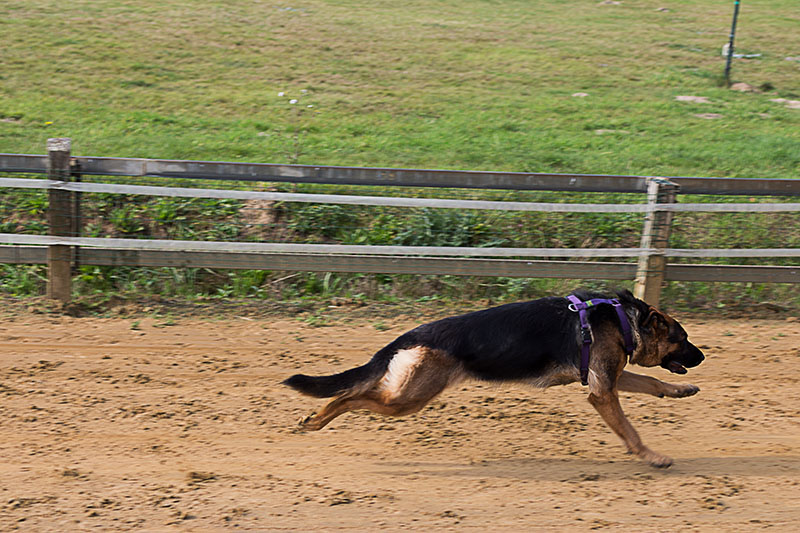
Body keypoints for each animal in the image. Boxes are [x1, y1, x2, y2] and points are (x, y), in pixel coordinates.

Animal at [282, 288, 708, 468]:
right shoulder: (601, 391)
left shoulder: (606, 378)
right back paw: (316, 420)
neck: (622, 319)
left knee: (357, 391)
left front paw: (681, 390)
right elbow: (630, 431)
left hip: (406, 392)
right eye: (683, 339)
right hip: (409, 399)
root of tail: (412, 334)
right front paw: (651, 457)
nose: (703, 355)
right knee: (349, 397)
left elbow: (652, 384)